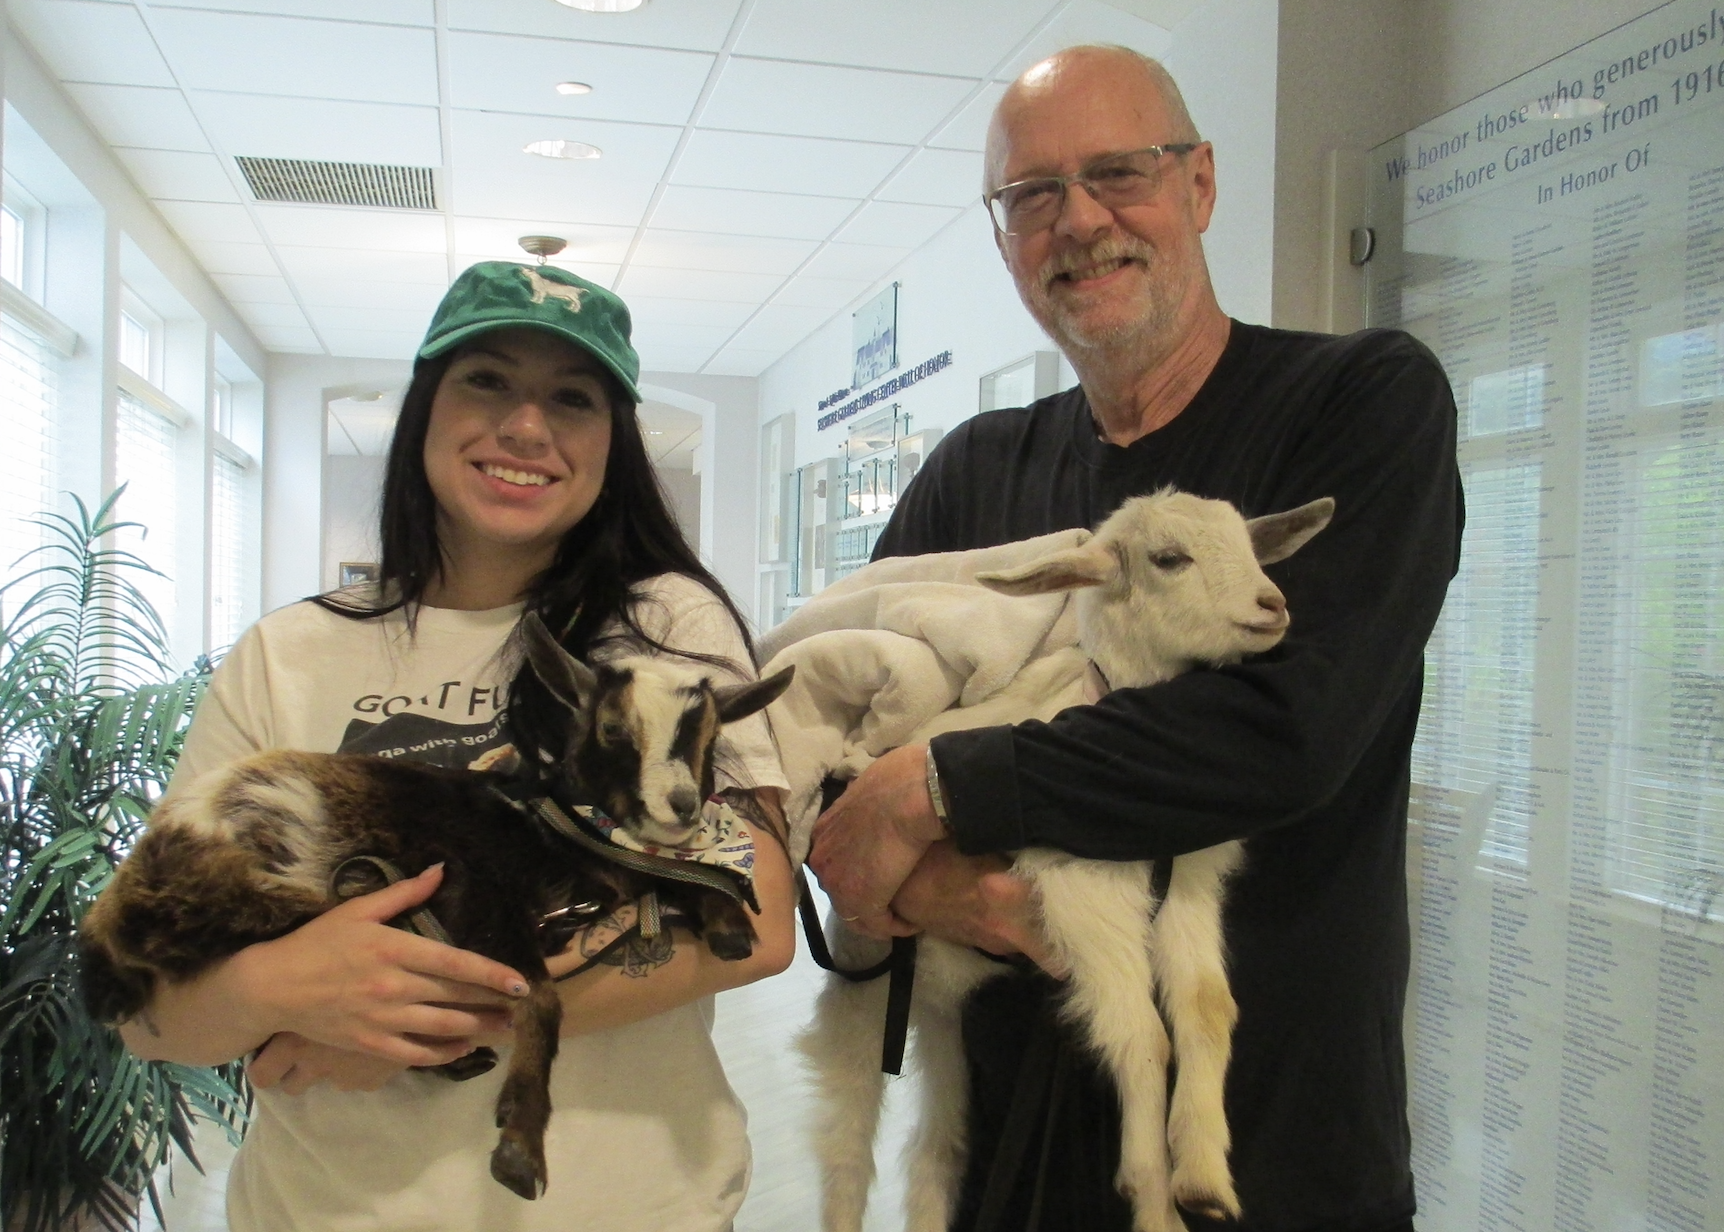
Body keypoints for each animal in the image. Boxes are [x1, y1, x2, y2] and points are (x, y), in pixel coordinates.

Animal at [793, 492, 1330, 1232]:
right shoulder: (1082, 894)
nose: (1272, 605)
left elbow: (1205, 1008)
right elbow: (1143, 1037)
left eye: (1249, 547)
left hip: (941, 1018)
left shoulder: (1188, 887)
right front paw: (1153, 1198)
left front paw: (1202, 1179)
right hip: (863, 993)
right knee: (845, 1145)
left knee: (939, 1145)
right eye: (1169, 558)